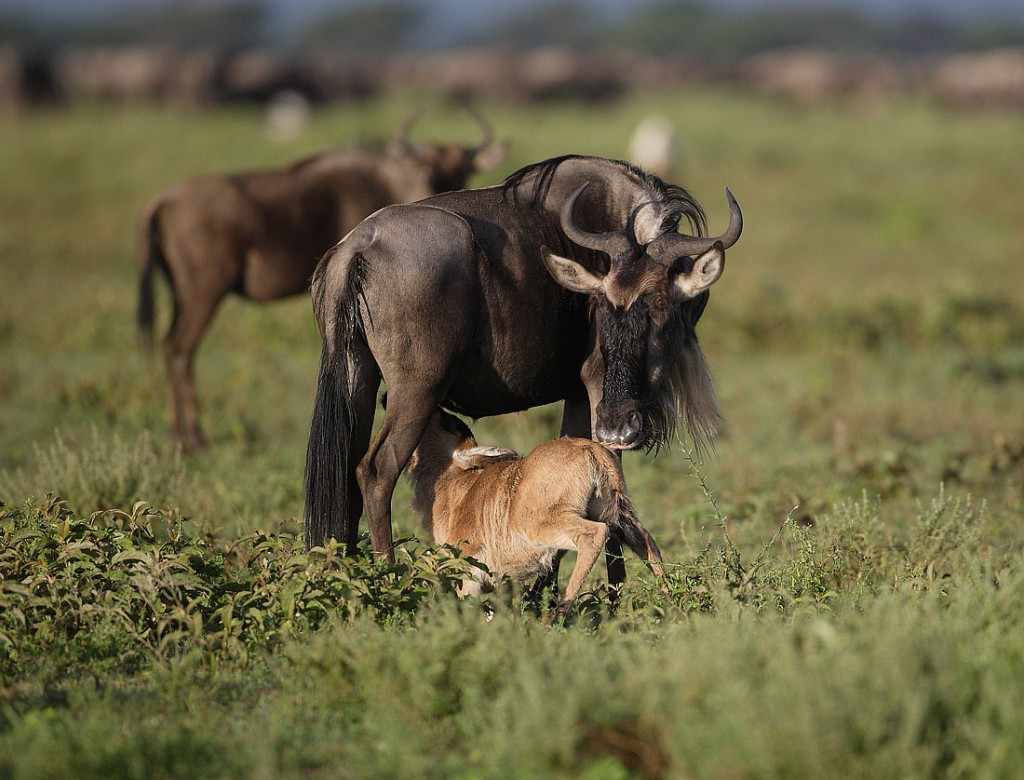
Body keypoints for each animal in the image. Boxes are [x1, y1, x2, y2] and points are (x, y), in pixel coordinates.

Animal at [403, 407, 667, 614]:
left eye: (449, 423)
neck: (455, 484)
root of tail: (589, 448)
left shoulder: (468, 574)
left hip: (541, 524)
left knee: (595, 535)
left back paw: (556, 616)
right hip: (619, 516)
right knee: (647, 542)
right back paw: (670, 606)